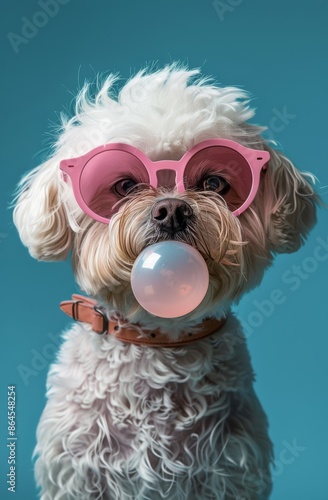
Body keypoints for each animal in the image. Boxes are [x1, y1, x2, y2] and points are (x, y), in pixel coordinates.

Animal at [14, 66, 316, 500]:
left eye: (213, 183)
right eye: (125, 185)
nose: (172, 209)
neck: (160, 341)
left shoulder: (229, 472)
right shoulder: (77, 476)